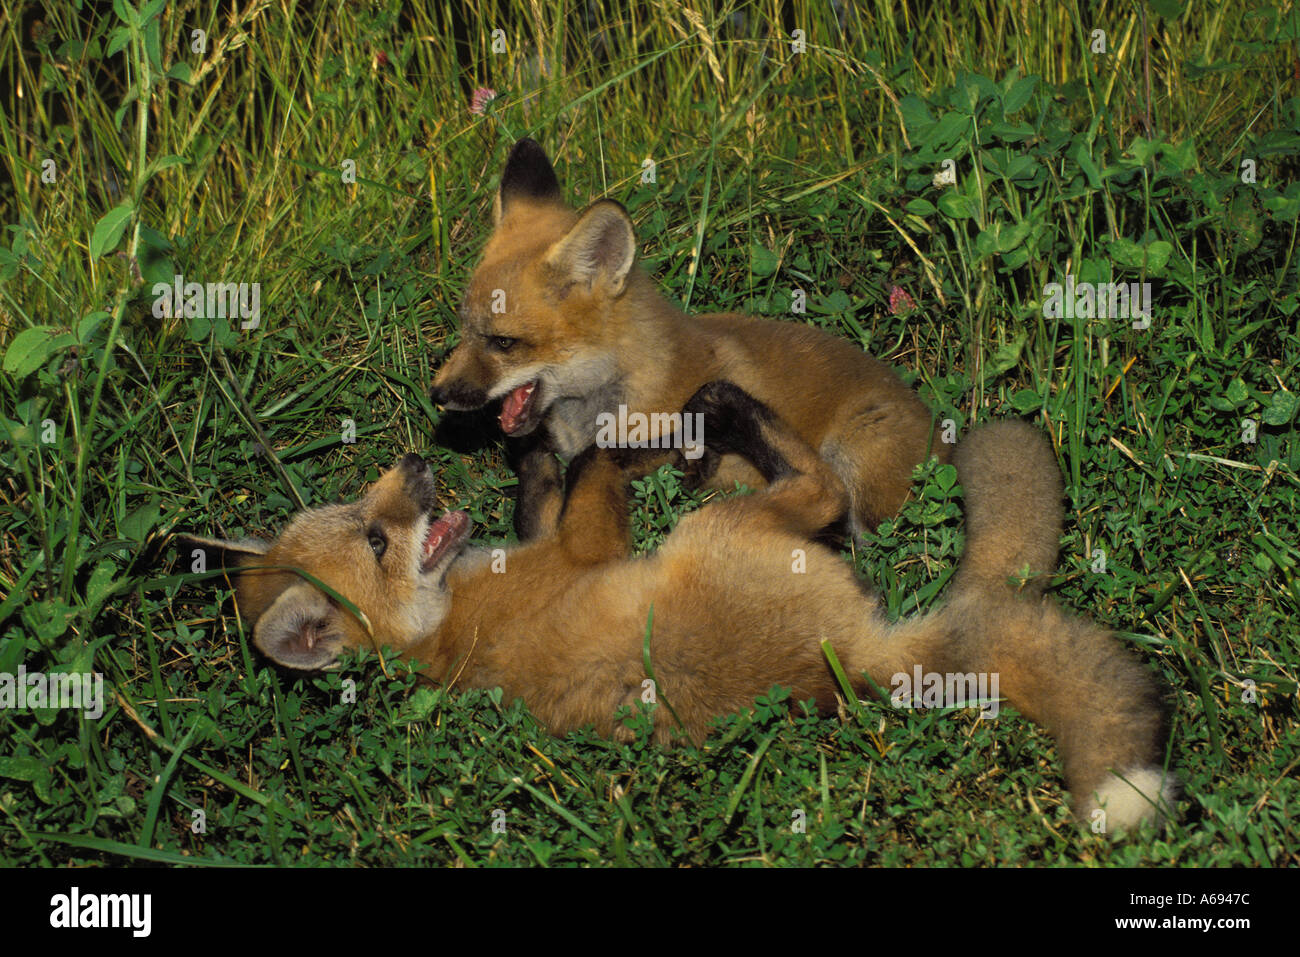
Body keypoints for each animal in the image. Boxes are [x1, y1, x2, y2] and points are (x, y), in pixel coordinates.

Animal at [186, 382, 1176, 833]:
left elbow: (548, 481)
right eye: (375, 538)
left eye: (364, 503)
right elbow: (596, 465)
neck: (442, 637)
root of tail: (859, 665)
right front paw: (629, 437)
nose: (422, 463)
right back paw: (722, 412)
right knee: (821, 489)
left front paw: (527, 443)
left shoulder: (547, 537)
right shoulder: (589, 547)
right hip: (719, 527)